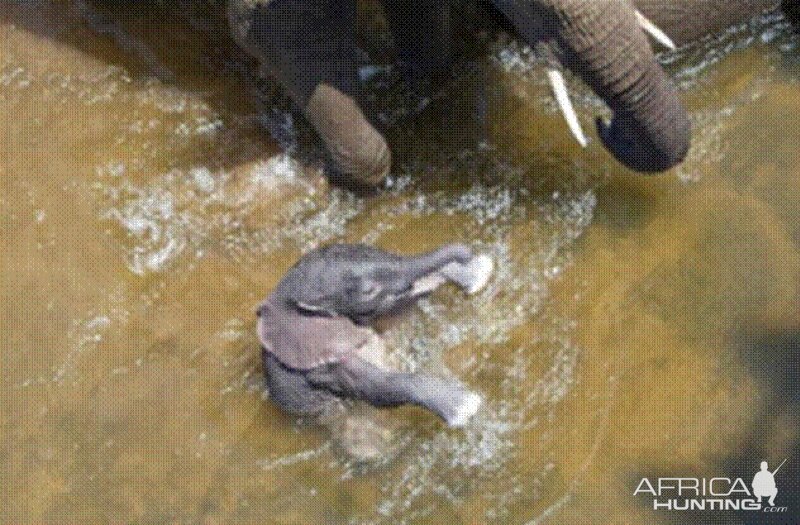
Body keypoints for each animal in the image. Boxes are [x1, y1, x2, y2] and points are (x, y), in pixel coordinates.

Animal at [258, 243, 494, 434]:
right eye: (369, 291)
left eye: (374, 249)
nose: (467, 254)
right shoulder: (318, 363)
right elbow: (374, 388)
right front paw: (466, 408)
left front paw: (479, 272)